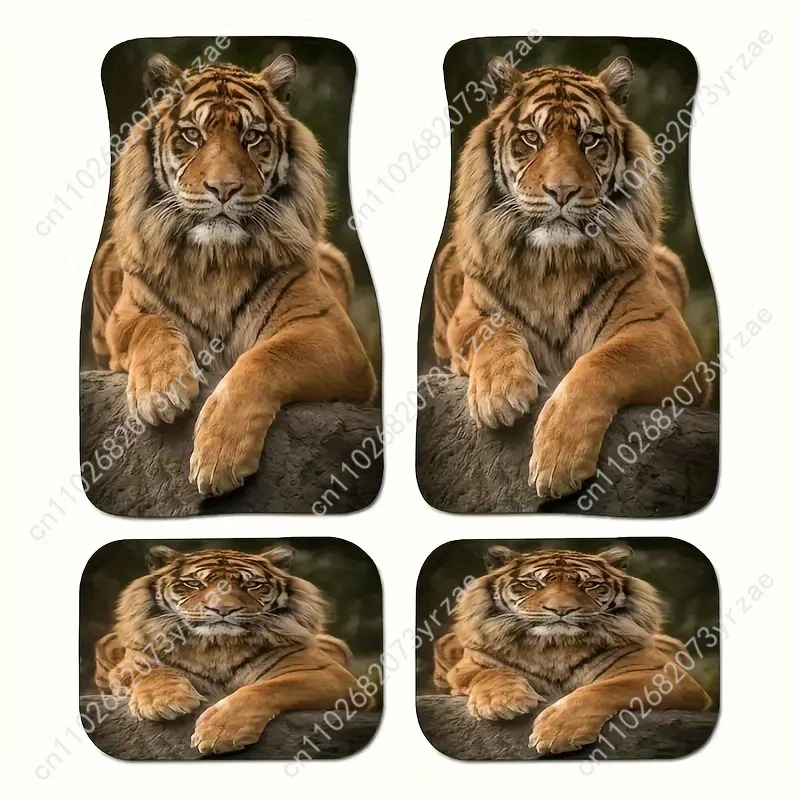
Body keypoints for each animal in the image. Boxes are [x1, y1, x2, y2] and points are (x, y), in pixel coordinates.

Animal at [90, 52, 376, 497]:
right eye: (192, 135)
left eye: (252, 137)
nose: (223, 188)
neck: (214, 262)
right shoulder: (125, 315)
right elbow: (151, 327)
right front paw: (161, 391)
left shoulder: (332, 333)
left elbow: (264, 358)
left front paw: (218, 458)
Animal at [93, 545, 368, 755]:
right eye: (194, 584)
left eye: (252, 585)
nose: (223, 609)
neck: (217, 645)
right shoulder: (132, 662)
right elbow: (153, 673)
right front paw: (163, 702)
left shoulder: (331, 675)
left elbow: (269, 688)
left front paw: (219, 733)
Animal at [432, 55, 710, 500]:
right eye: (531, 138)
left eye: (590, 140)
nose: (561, 191)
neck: (554, 265)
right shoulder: (469, 316)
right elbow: (491, 334)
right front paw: (500, 395)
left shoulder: (668, 337)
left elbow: (602, 362)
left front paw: (557, 462)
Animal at [433, 544, 711, 755]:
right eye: (532, 584)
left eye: (589, 585)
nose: (561, 609)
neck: (554, 646)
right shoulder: (469, 665)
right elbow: (490, 673)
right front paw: (502, 702)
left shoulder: (666, 674)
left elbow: (606, 688)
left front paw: (558, 733)